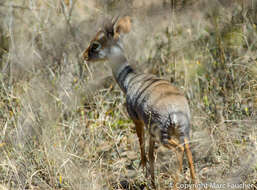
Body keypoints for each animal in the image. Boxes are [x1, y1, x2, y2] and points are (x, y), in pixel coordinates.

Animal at [83, 16, 195, 189]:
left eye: (95, 44)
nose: (84, 56)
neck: (129, 80)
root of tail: (176, 111)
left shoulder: (136, 120)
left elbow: (142, 146)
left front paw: (143, 168)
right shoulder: (150, 132)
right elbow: (151, 154)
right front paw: (152, 182)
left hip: (164, 134)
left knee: (179, 150)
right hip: (183, 132)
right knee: (188, 152)